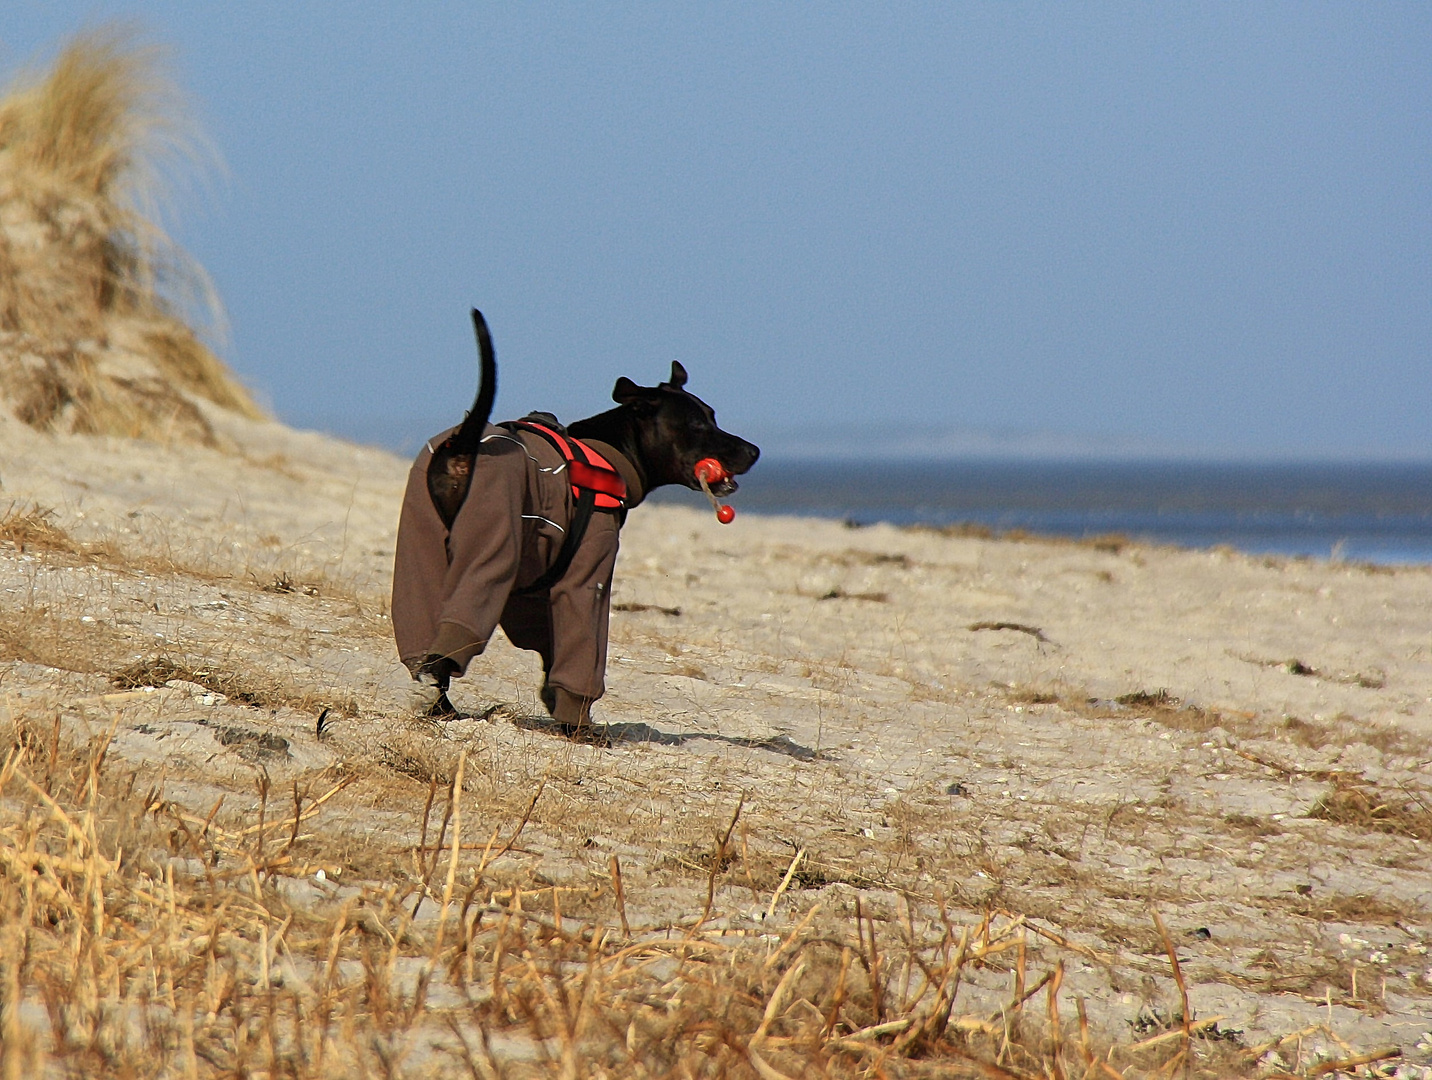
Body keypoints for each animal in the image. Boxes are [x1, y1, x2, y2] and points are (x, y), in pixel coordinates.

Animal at [386, 310, 756, 733]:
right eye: (697, 425)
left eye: (713, 417)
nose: (754, 451)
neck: (610, 453)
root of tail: (461, 445)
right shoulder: (588, 572)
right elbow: (580, 645)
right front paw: (577, 722)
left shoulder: (532, 586)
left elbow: (547, 644)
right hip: (492, 543)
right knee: (453, 639)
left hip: (424, 545)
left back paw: (437, 704)